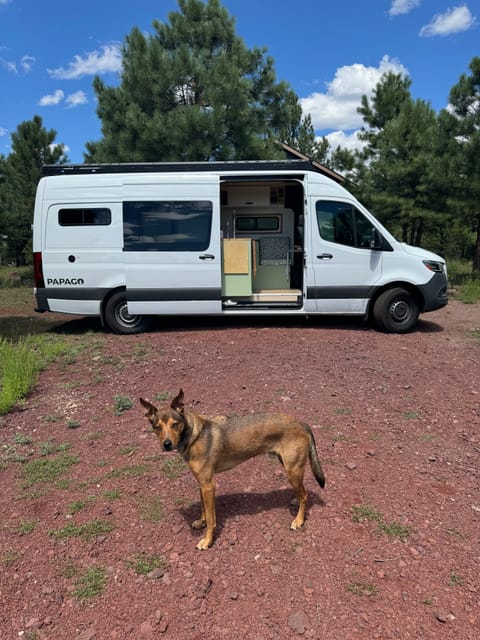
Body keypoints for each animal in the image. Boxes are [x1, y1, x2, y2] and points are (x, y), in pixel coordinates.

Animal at [140, 390, 326, 552]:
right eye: (157, 427)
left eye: (175, 424)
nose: (166, 444)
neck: (192, 435)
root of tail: (300, 423)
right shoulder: (202, 483)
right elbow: (203, 509)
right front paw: (201, 522)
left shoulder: (209, 485)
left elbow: (212, 518)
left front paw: (207, 541)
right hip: (288, 466)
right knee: (301, 492)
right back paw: (295, 501)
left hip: (292, 469)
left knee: (305, 495)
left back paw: (299, 520)